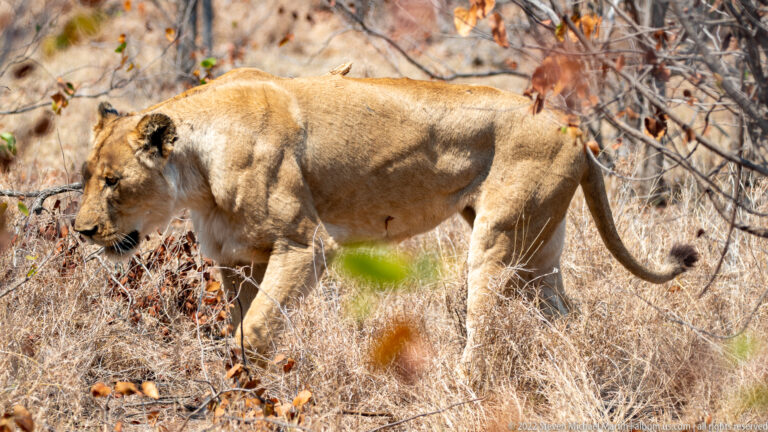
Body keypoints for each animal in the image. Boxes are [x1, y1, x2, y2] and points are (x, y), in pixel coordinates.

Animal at [74, 68, 698, 383]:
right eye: (87, 176)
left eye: (112, 181)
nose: (81, 232)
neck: (197, 169)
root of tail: (576, 128)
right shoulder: (237, 257)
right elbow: (240, 326)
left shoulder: (303, 245)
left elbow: (256, 328)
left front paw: (252, 388)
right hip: (537, 246)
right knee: (563, 313)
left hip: (496, 237)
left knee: (485, 324)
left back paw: (464, 383)